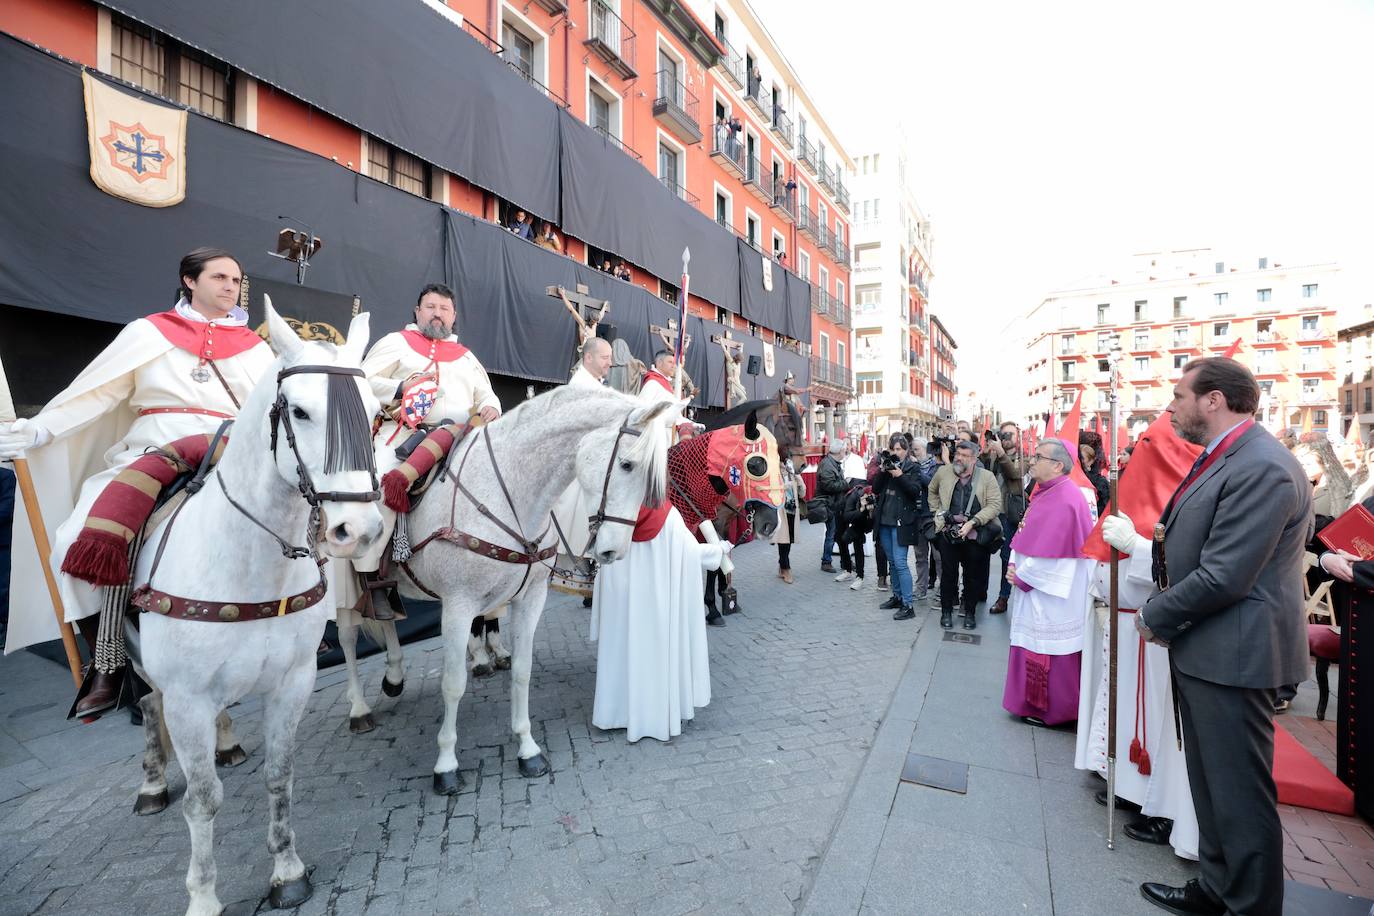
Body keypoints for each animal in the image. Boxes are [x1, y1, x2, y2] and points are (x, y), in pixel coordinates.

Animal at [127, 304, 381, 911]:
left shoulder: (292, 681)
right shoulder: (188, 699)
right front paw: (202, 895)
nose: (357, 530)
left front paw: (287, 871)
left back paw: (226, 744)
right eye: (300, 411)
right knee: (147, 705)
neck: (245, 566)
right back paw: (152, 782)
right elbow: (202, 800)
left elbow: (279, 776)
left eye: (376, 413)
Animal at [370, 384, 676, 791]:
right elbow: (453, 684)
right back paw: (359, 708)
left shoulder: (530, 600)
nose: (614, 551)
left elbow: (522, 671)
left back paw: (393, 676)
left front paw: (527, 748)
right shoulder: (458, 606)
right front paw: (446, 764)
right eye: (627, 465)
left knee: (383, 614)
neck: (509, 491)